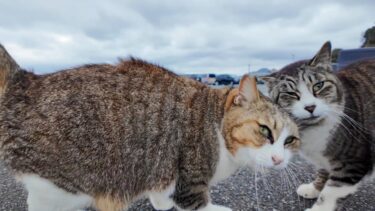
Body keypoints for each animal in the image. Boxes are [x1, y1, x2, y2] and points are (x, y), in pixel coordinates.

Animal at [0, 45, 302, 211]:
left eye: (290, 141)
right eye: (265, 131)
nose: (279, 159)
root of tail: (26, 81)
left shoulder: (163, 173)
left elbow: (159, 192)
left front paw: (161, 203)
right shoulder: (190, 181)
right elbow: (199, 203)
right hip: (60, 188)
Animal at [262, 41, 375, 211]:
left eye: (318, 85)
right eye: (291, 94)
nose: (310, 107)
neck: (312, 129)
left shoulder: (352, 163)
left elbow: (331, 192)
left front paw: (319, 207)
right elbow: (322, 172)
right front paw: (314, 188)